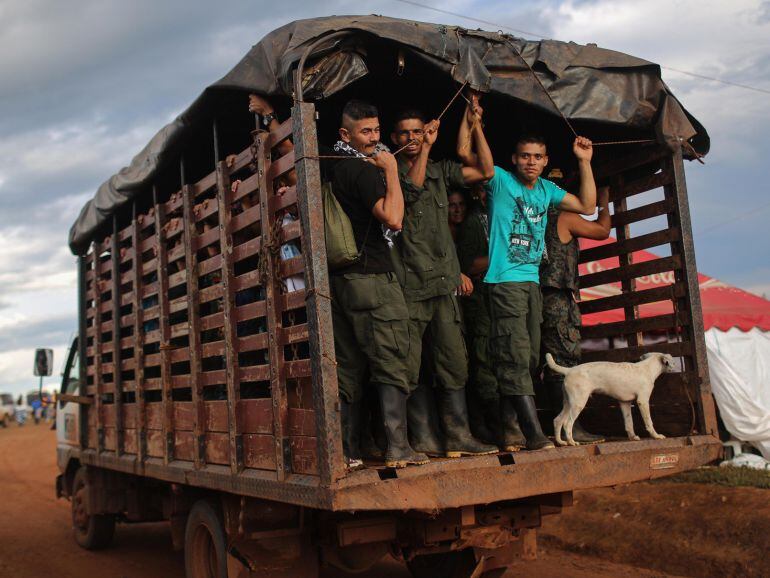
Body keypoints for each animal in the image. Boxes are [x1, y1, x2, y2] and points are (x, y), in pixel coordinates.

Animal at [544, 346, 676, 446]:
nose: (675, 368)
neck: (647, 368)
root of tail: (569, 370)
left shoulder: (625, 403)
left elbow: (629, 423)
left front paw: (633, 437)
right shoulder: (643, 401)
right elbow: (649, 422)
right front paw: (656, 436)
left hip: (568, 403)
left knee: (558, 420)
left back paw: (561, 442)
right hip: (578, 403)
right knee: (567, 424)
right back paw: (572, 442)